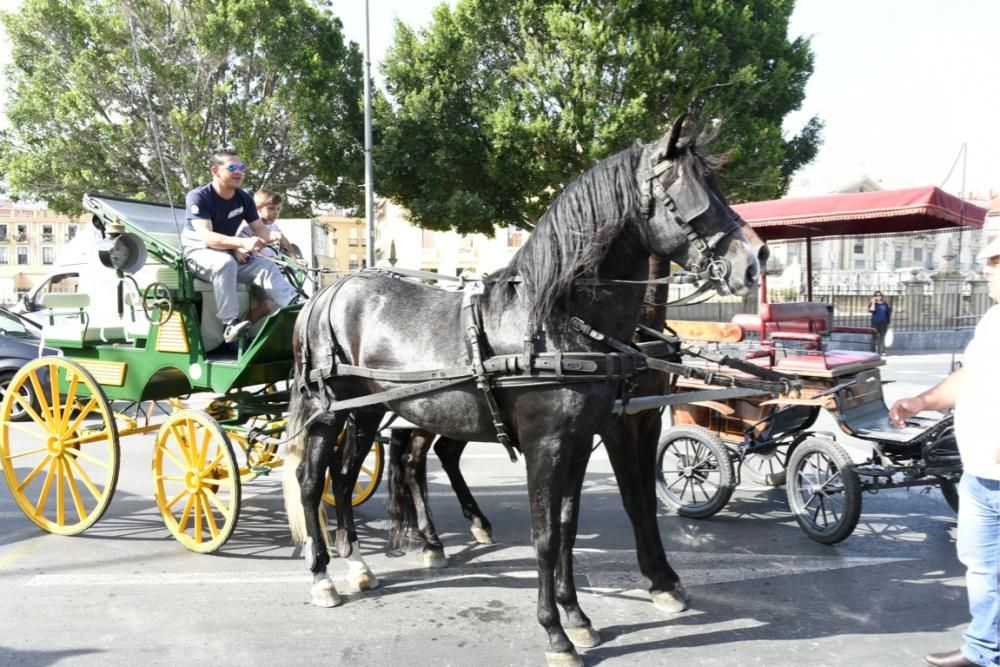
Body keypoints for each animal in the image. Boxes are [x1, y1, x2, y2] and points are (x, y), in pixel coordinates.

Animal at [282, 121, 756, 667]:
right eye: (687, 191)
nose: (755, 260)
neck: (557, 321)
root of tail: (328, 291)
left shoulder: (582, 440)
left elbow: (569, 525)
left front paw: (578, 617)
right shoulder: (550, 444)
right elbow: (548, 534)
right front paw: (556, 633)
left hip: (367, 411)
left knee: (347, 475)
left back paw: (359, 565)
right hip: (328, 411)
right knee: (311, 480)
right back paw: (322, 576)